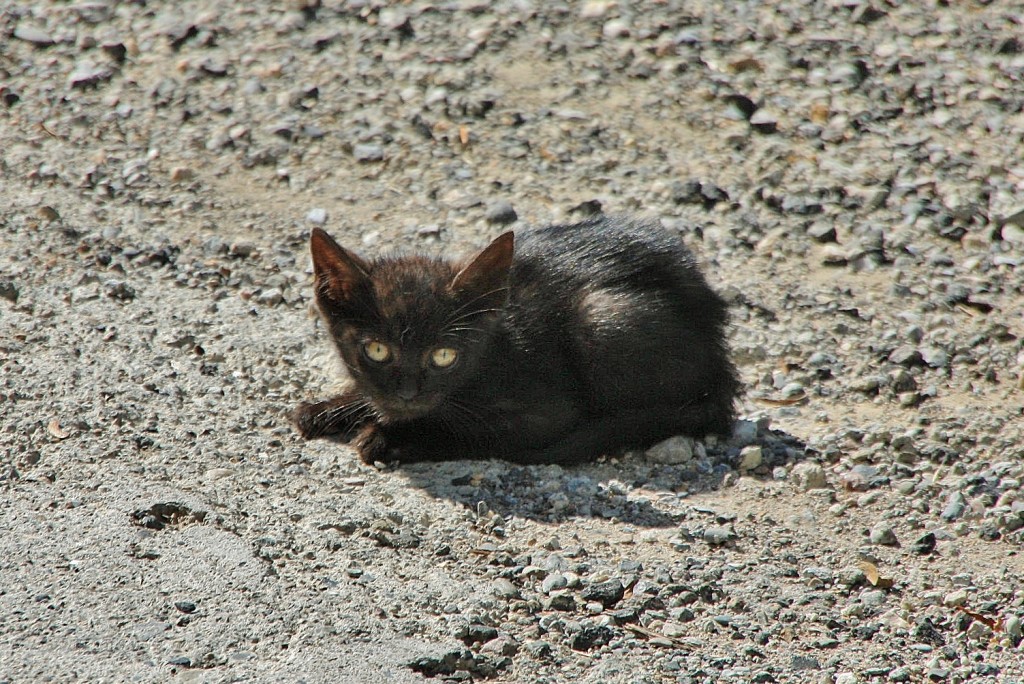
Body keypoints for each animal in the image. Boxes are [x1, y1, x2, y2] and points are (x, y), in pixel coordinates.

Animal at [292, 218, 741, 464]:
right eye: (377, 350)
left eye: (444, 355)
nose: (407, 393)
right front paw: (330, 407)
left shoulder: (548, 413)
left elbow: (468, 433)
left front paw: (388, 437)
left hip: (600, 318)